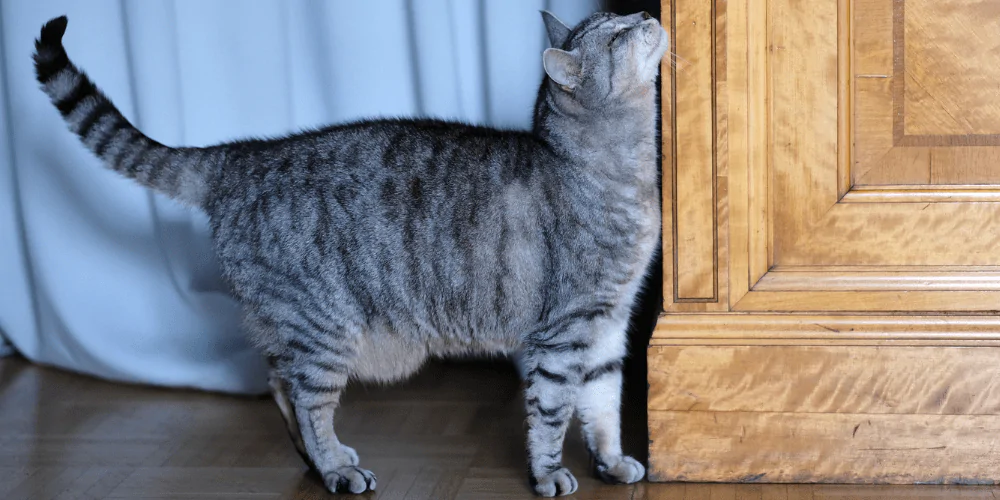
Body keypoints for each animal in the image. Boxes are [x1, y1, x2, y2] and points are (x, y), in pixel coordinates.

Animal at [35, 10, 668, 496]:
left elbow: (603, 402)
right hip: (325, 327)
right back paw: (336, 467)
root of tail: (240, 156)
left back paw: (319, 461)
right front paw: (550, 473)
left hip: (294, 326)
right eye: (617, 34)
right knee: (305, 398)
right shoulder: (563, 331)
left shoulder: (609, 323)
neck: (627, 176)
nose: (648, 13)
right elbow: (553, 411)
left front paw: (612, 461)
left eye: (627, 20)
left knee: (278, 382)